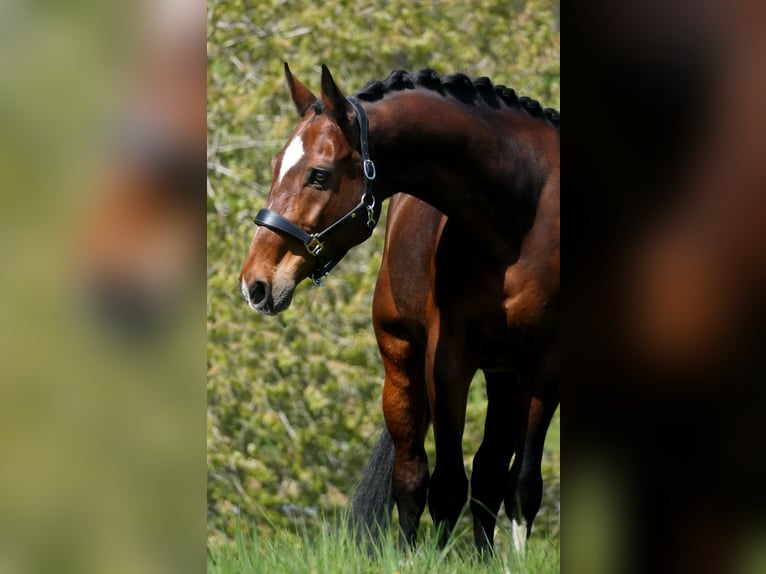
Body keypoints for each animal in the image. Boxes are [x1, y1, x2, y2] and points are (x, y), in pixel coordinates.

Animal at [239, 64, 559, 551]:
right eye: (277, 165)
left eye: (318, 174)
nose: (255, 283)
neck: (523, 212)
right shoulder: (447, 360)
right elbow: (445, 484)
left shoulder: (546, 368)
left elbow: (521, 486)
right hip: (405, 362)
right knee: (413, 475)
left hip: (505, 376)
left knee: (487, 476)